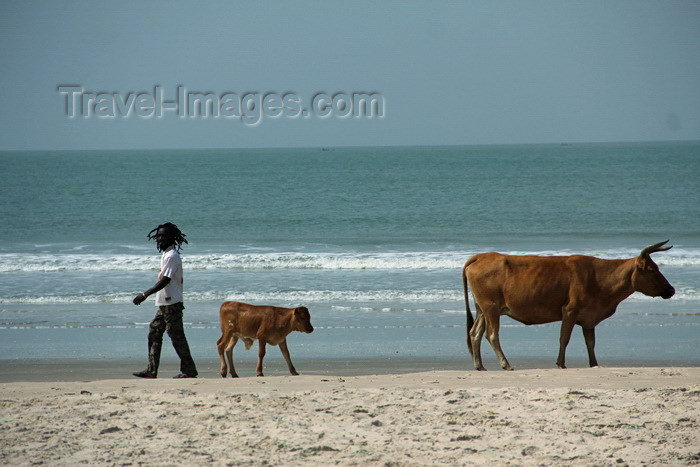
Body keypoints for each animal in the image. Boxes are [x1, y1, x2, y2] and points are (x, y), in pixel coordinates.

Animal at [462, 243, 676, 372]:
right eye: (652, 270)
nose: (671, 289)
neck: (600, 278)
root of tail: (481, 256)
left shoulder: (589, 318)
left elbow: (590, 343)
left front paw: (594, 364)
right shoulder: (570, 311)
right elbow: (564, 338)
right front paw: (561, 363)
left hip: (482, 309)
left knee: (475, 333)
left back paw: (479, 366)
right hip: (491, 308)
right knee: (492, 335)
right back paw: (505, 364)